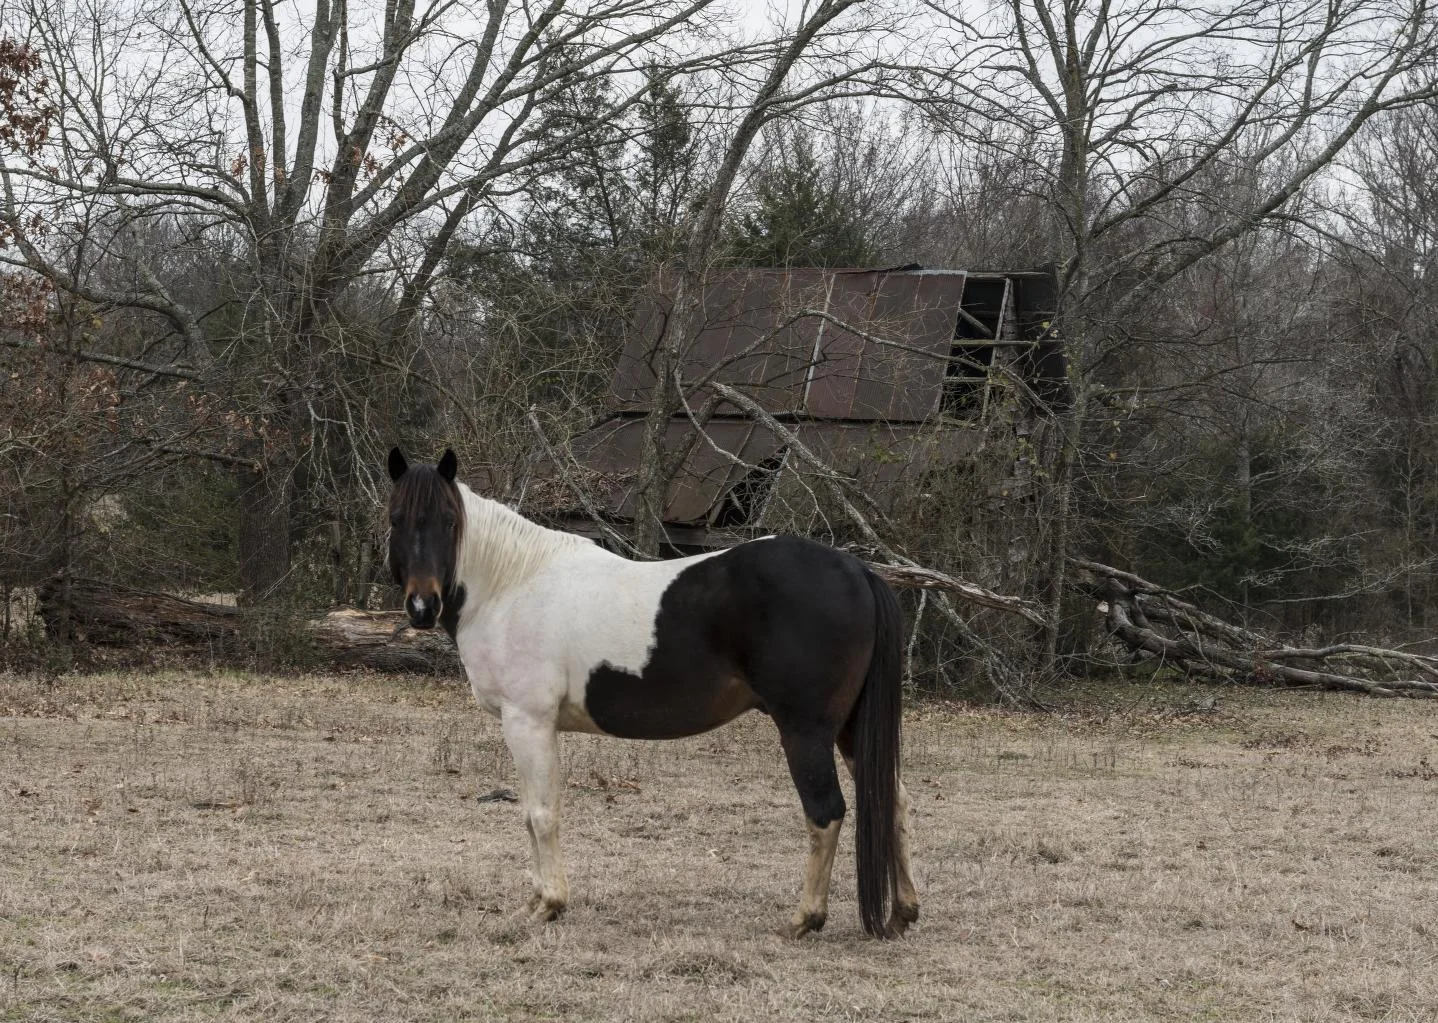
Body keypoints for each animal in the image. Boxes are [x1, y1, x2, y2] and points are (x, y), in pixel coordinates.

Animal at [385, 447, 919, 938]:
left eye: (449, 520)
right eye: (397, 518)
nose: (421, 606)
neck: (511, 584)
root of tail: (859, 571)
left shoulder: (527, 721)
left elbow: (541, 814)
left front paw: (547, 906)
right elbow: (529, 814)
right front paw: (537, 901)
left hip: (805, 732)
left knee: (826, 812)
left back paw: (805, 919)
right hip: (850, 729)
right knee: (891, 799)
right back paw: (902, 913)